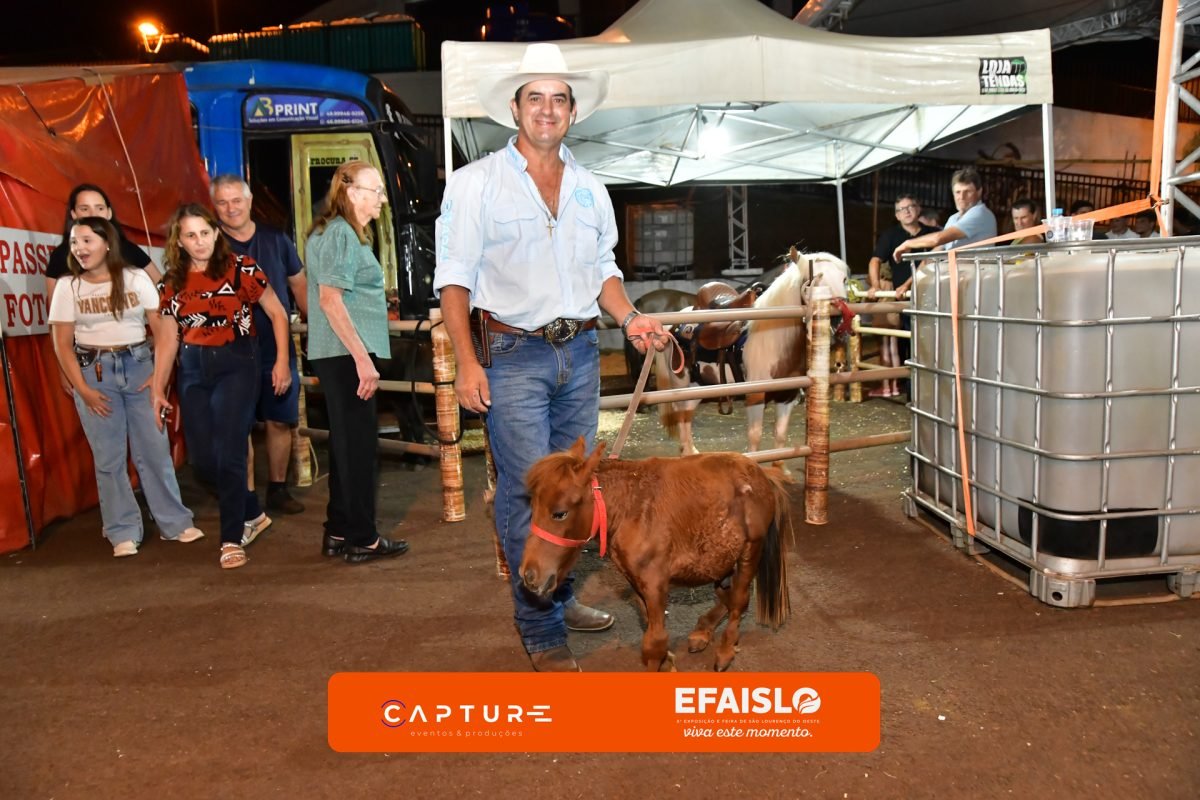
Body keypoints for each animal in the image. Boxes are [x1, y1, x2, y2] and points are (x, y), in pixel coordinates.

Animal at [520, 437, 791, 672]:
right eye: (532, 507)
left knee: (739, 600)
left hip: (750, 550)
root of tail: (761, 474)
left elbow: (654, 642)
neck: (630, 508)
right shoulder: (636, 581)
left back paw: (725, 650)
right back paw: (702, 632)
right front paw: (668, 664)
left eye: (560, 513)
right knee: (727, 594)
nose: (529, 575)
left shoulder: (655, 584)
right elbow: (651, 630)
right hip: (720, 558)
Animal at [653, 248, 851, 458]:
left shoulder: (787, 397)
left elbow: (780, 439)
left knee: (687, 415)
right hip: (681, 386)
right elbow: (755, 437)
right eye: (814, 279)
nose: (838, 320)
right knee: (681, 415)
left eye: (844, 279)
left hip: (700, 385)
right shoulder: (756, 397)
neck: (774, 338)